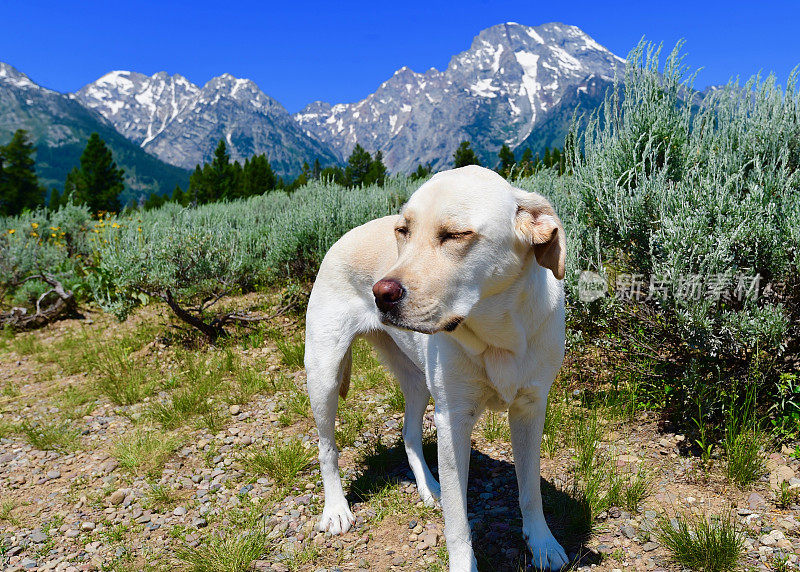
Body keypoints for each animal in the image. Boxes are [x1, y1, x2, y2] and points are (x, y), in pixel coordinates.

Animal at [304, 165, 568, 572]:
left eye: (456, 235)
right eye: (403, 231)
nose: (381, 293)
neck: (499, 337)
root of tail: (344, 234)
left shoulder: (530, 409)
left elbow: (530, 490)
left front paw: (542, 543)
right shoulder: (453, 419)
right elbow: (458, 521)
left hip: (418, 382)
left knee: (410, 434)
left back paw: (429, 487)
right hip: (324, 373)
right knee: (326, 447)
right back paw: (335, 509)